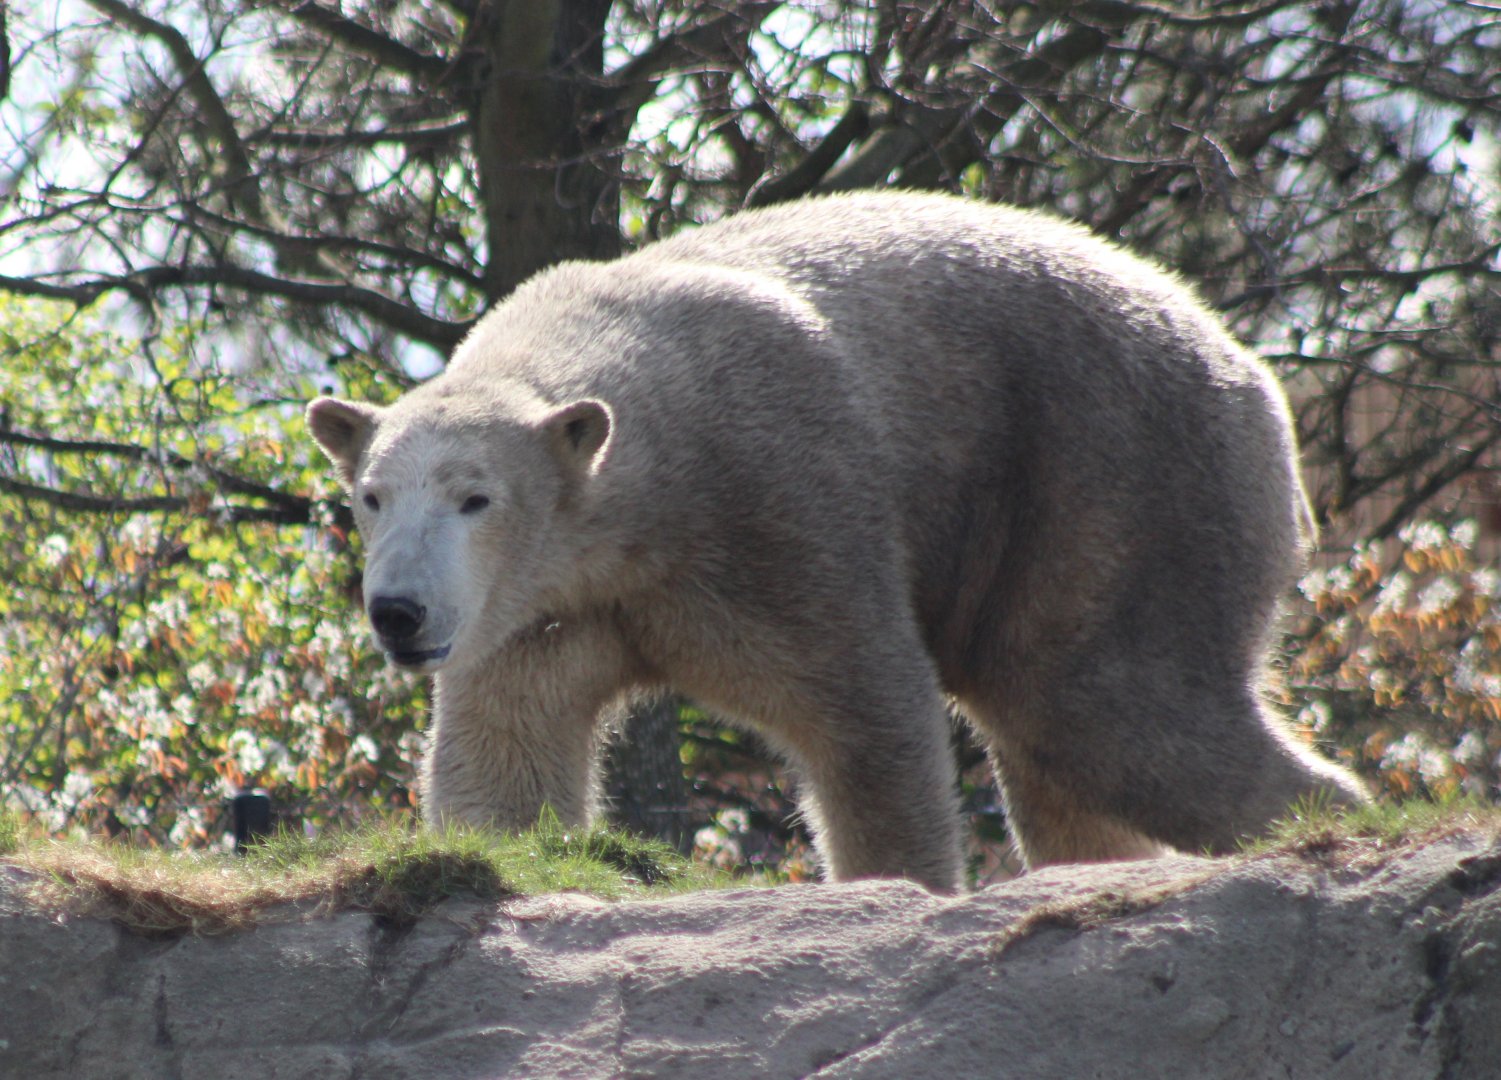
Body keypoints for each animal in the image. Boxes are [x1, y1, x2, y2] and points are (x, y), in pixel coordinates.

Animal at [307, 190, 1369, 891]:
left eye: (474, 498)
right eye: (371, 496)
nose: (398, 612)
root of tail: (1252, 376)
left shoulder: (777, 505)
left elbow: (865, 710)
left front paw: (897, 888)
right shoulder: (541, 609)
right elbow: (507, 754)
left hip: (1113, 483)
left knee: (1111, 707)